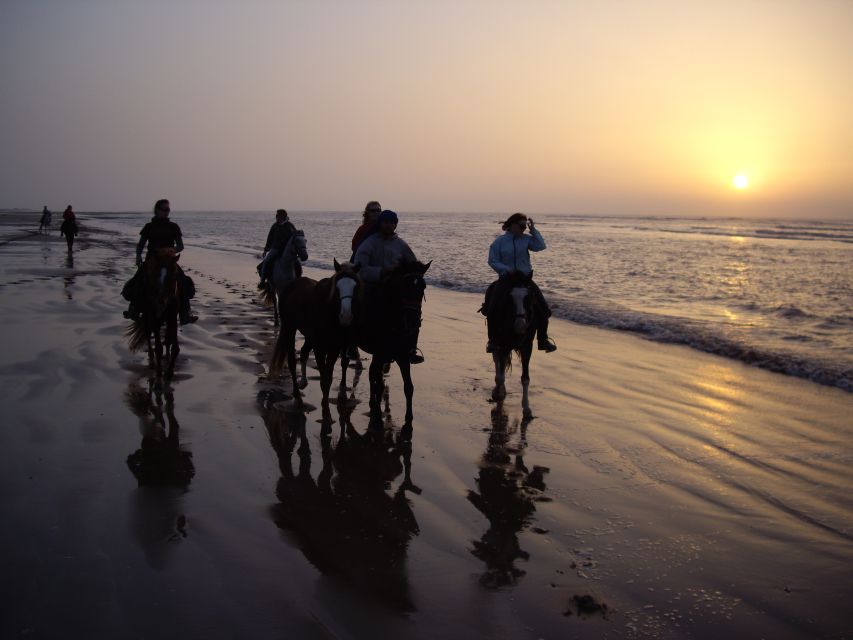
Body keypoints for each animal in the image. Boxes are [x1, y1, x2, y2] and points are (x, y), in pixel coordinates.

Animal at [125, 249, 180, 380]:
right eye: (155, 274)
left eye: (174, 275)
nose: (160, 302)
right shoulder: (154, 318)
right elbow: (158, 348)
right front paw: (159, 375)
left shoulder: (172, 318)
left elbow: (175, 347)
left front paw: (170, 371)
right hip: (147, 317)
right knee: (147, 334)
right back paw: (151, 361)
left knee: (166, 339)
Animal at [272, 258, 362, 404]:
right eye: (337, 288)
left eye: (355, 287)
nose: (346, 316)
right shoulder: (319, 348)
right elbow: (324, 380)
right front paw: (325, 406)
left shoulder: (335, 348)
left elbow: (328, 378)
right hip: (289, 327)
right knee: (292, 361)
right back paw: (296, 392)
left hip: (309, 336)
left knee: (303, 352)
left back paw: (303, 382)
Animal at [342, 260, 430, 424]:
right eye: (404, 286)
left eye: (423, 286)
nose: (413, 321)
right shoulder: (381, 354)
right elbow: (378, 381)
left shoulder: (403, 356)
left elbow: (408, 387)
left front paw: (409, 418)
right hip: (347, 339)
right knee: (345, 363)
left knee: (372, 373)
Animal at [486, 272, 540, 418]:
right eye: (510, 298)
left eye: (528, 298)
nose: (520, 325)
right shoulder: (503, 344)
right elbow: (500, 375)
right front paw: (497, 393)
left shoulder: (527, 348)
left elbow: (525, 378)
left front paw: (526, 408)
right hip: (496, 341)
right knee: (497, 359)